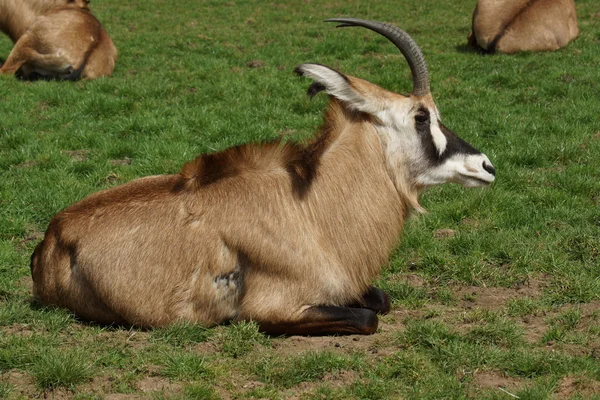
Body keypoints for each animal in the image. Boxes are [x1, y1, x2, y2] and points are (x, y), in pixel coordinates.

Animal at [30, 19, 494, 338]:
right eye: (421, 116)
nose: (485, 165)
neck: (310, 208)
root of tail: (52, 236)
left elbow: (381, 298)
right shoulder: (274, 309)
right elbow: (368, 317)